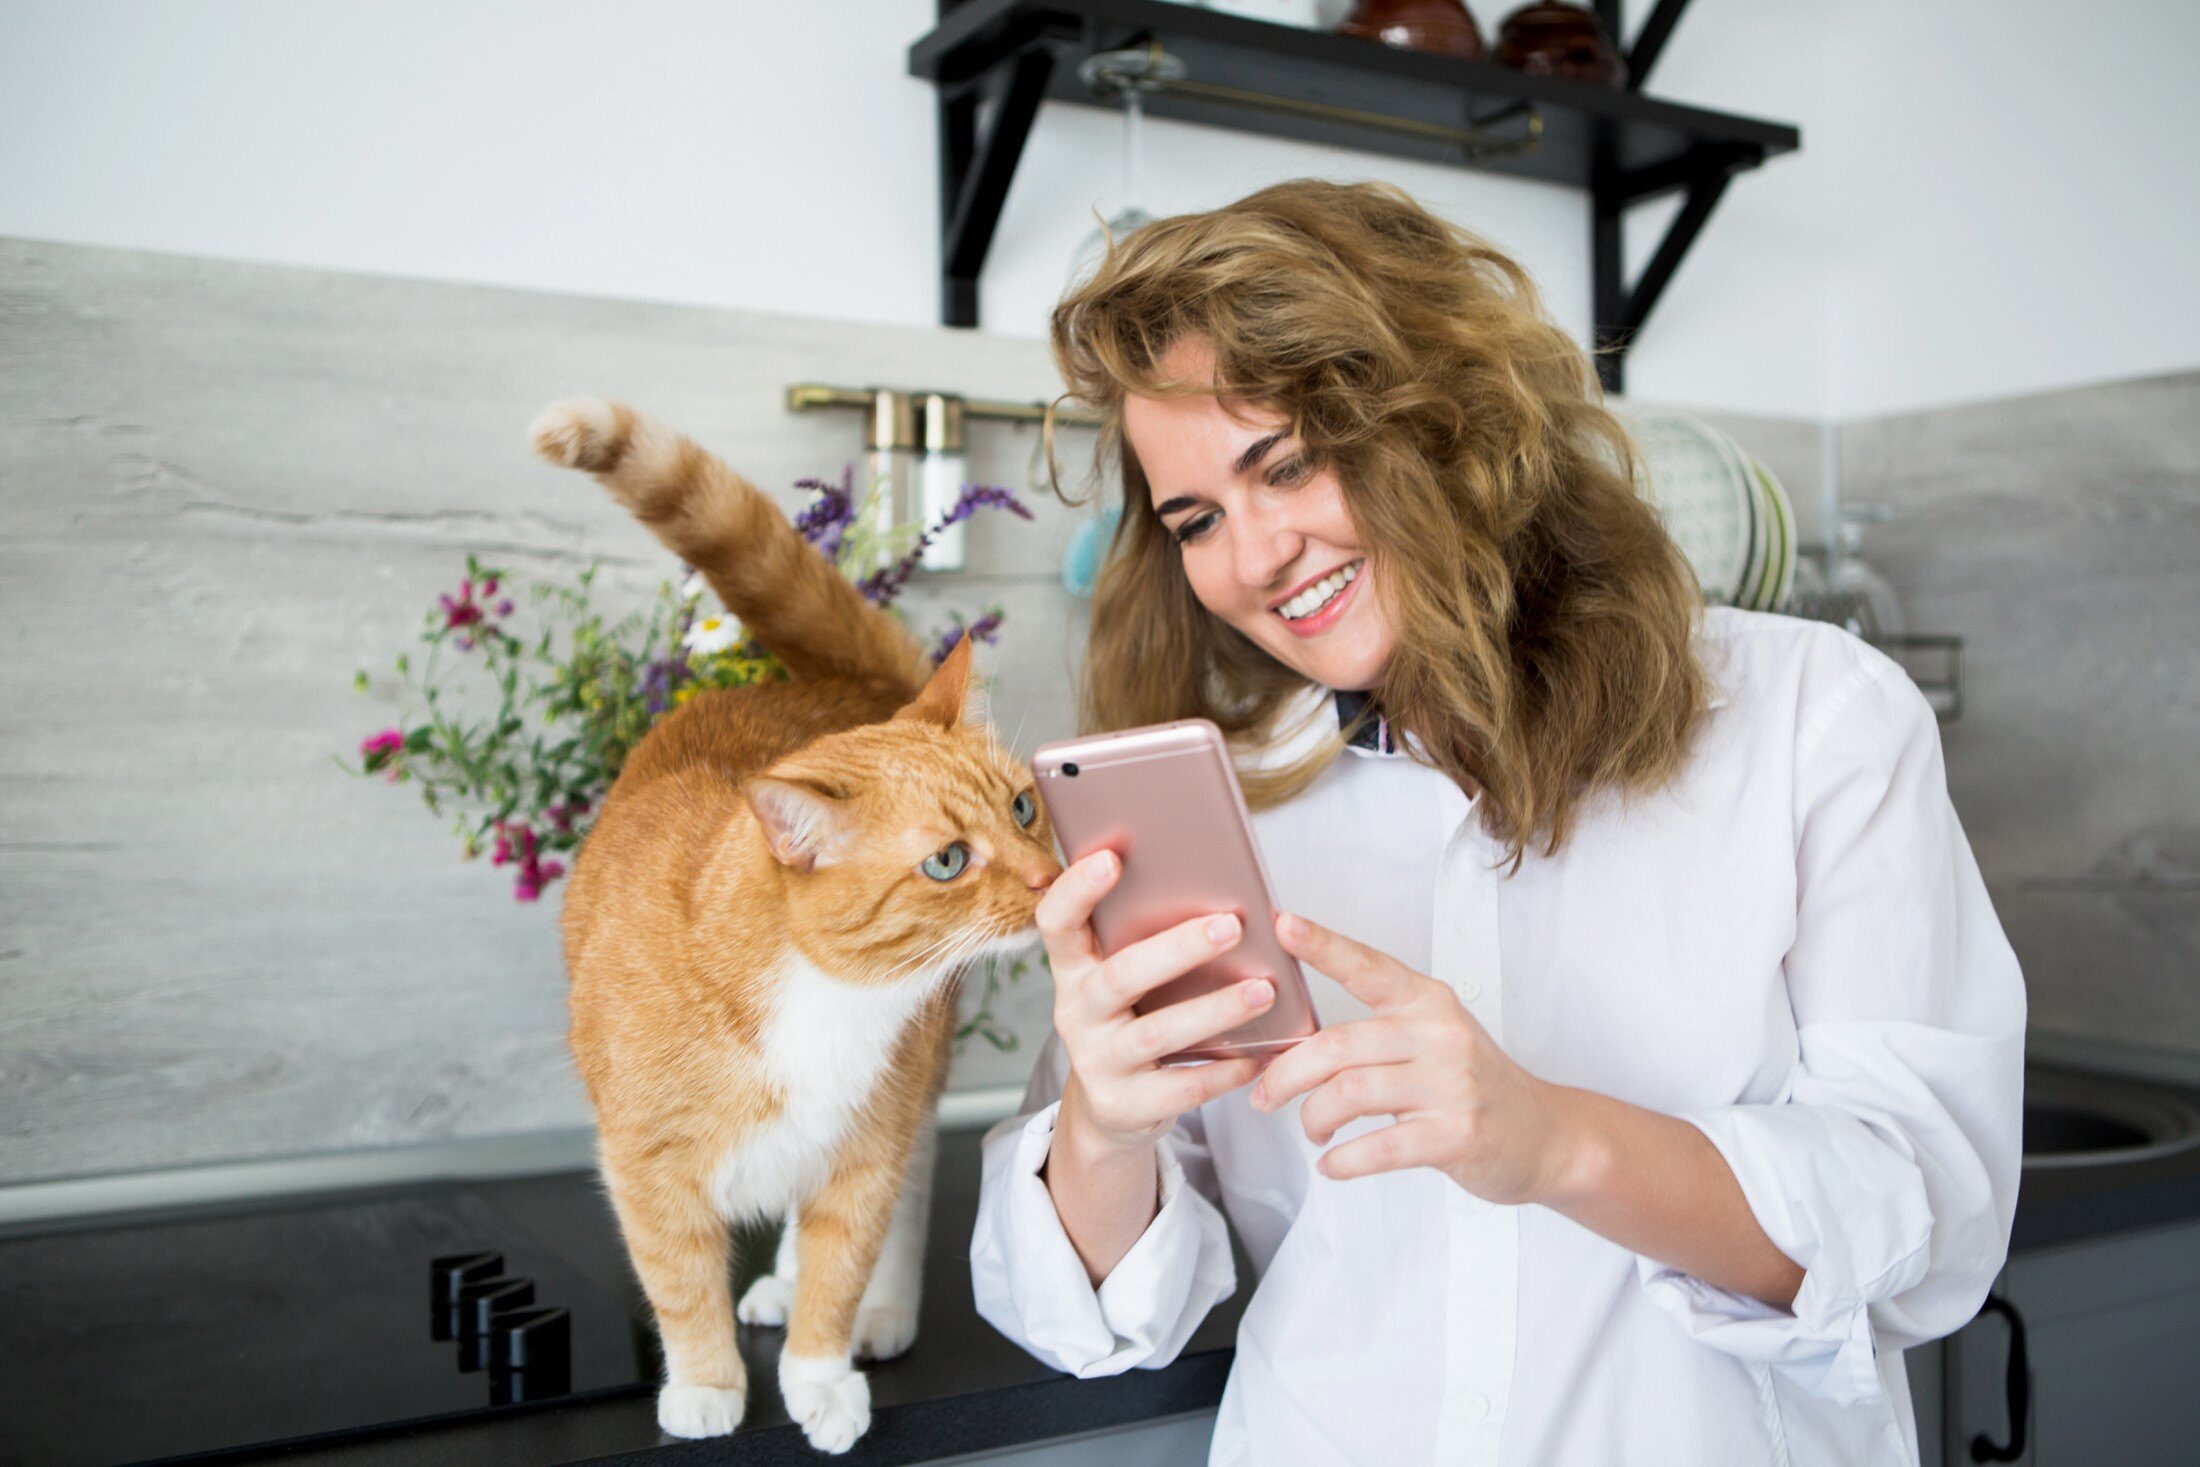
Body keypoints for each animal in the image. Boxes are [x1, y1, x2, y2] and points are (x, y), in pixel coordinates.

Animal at [523, 395, 1056, 1451]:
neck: (824, 1000)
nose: (1049, 875)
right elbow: (679, 1280)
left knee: (902, 1205)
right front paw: (705, 1385)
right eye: (947, 860)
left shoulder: (866, 1150)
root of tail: (843, 691)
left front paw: (820, 1375)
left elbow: (841, 1266)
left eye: (1023, 808)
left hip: (910, 1102)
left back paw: (874, 1313)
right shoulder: (645, 1163)